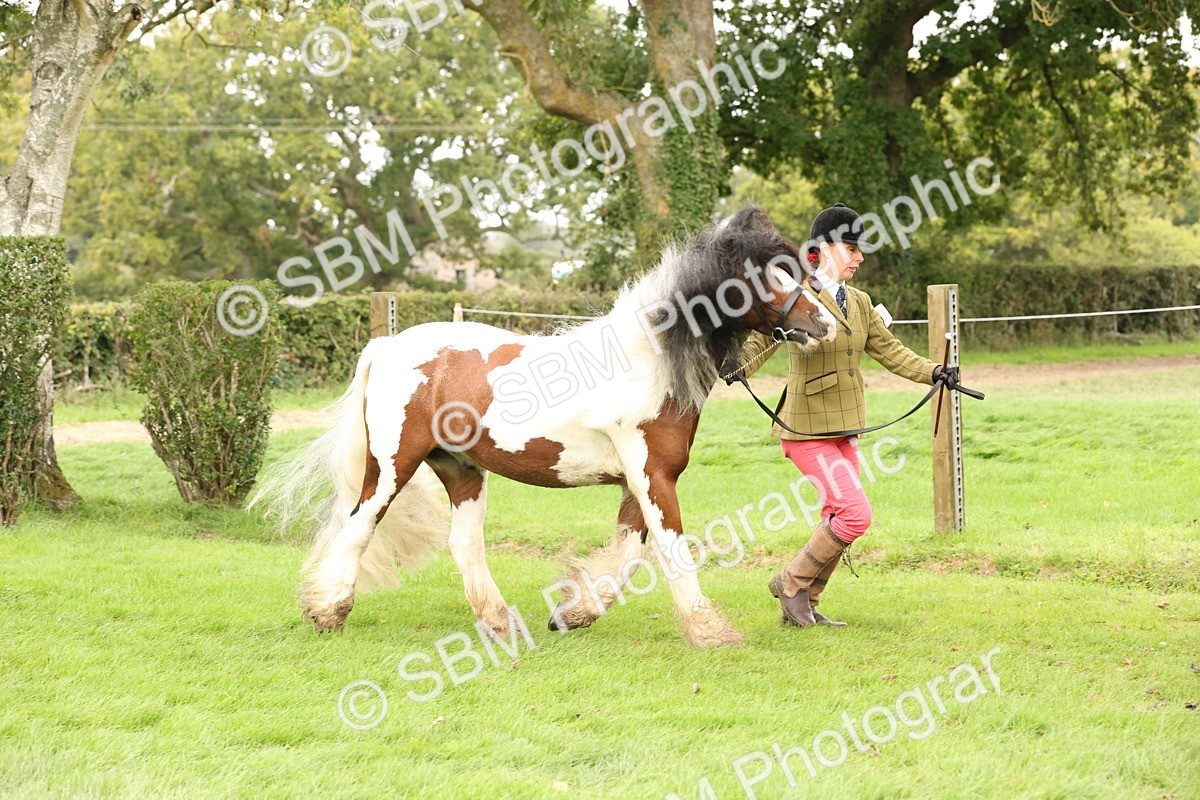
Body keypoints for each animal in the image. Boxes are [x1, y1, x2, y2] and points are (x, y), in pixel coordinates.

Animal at [252, 204, 837, 647]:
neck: (646, 360)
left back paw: (497, 622)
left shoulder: (641, 479)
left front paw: (573, 612)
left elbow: (628, 554)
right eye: (760, 276)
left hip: (461, 469)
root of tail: (387, 344)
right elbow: (670, 551)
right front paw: (710, 631)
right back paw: (329, 611)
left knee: (464, 544)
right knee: (359, 526)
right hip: (394, 465)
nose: (823, 323)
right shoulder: (652, 476)